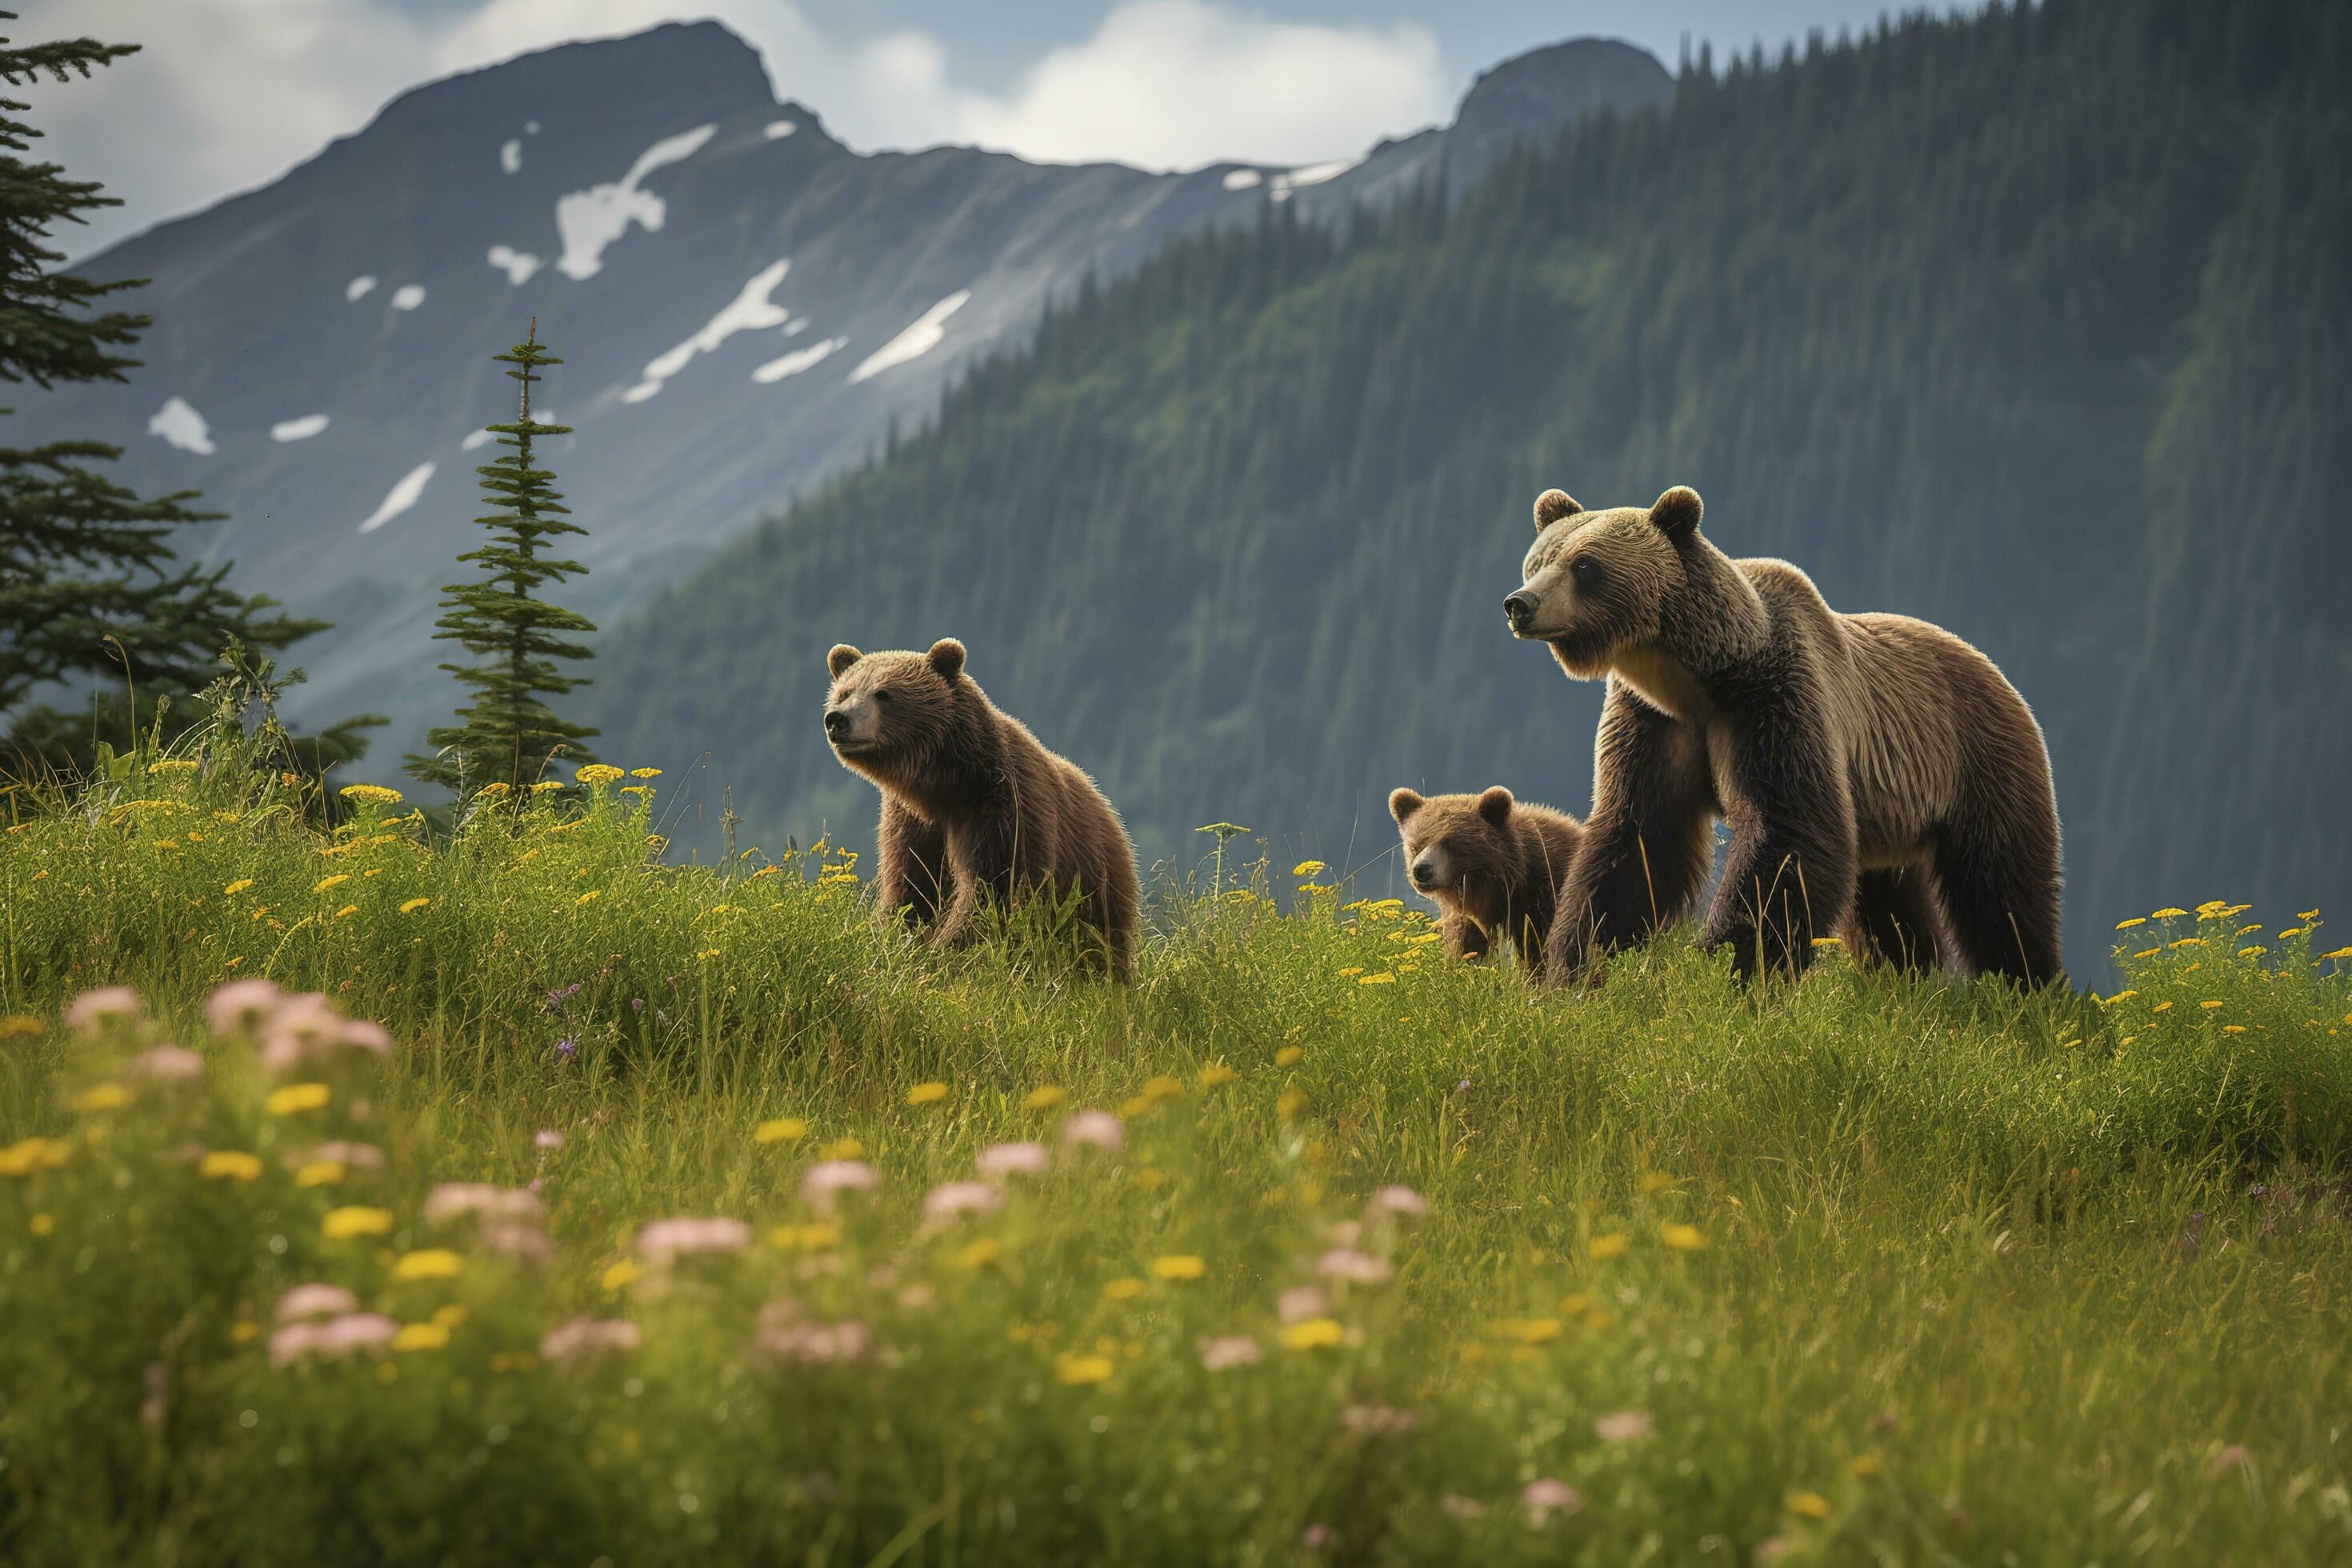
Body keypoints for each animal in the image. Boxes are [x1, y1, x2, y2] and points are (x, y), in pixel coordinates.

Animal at [827, 639, 1138, 982]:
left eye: (883, 693)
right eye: (845, 692)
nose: (837, 719)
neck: (944, 786)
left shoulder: (1000, 808)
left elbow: (991, 890)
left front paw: (942, 953)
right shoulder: (911, 822)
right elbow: (911, 889)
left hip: (1092, 888)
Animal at [1505, 484, 2060, 987]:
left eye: (1583, 565)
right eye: (1537, 561)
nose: (1520, 604)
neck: (1697, 678)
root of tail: (1991, 667)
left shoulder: (1775, 698)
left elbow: (1787, 831)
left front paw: (1730, 964)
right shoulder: (1655, 724)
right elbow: (1639, 839)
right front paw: (1579, 966)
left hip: (1977, 758)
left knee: (2000, 887)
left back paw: (2027, 984)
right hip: (1887, 810)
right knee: (1887, 902)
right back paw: (1904, 975)